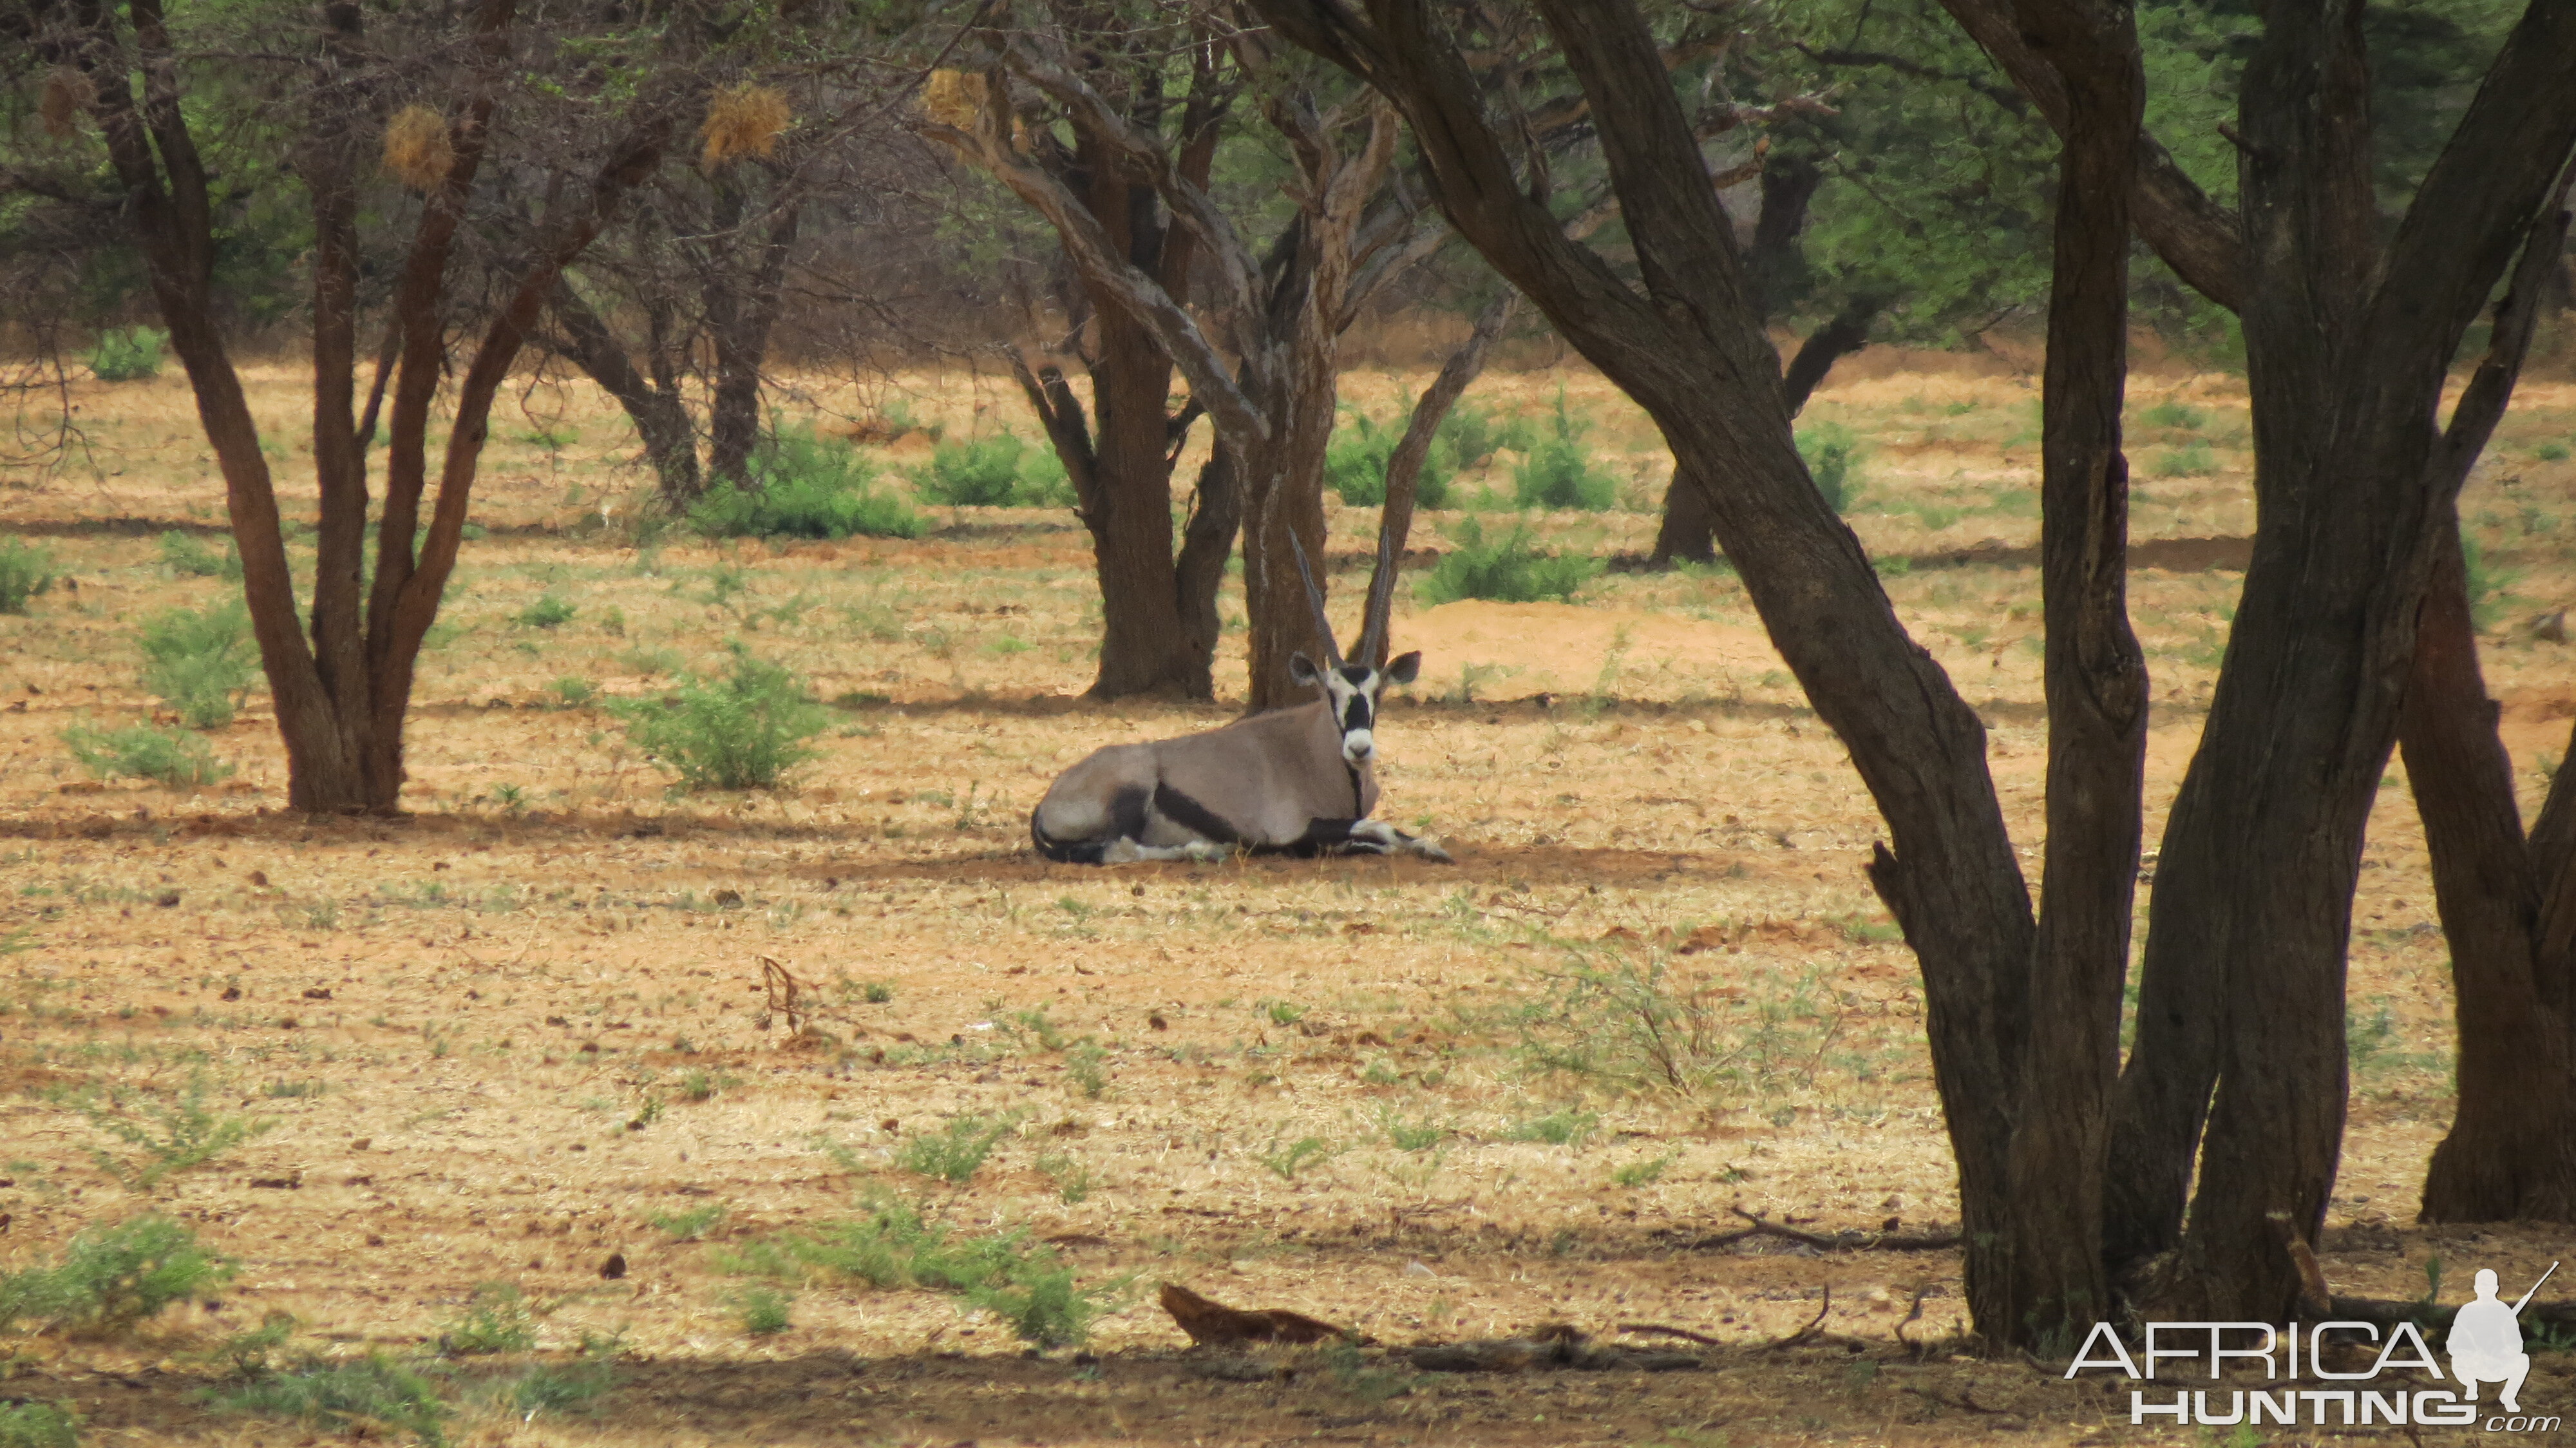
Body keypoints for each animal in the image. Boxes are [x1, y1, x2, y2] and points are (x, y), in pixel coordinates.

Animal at [1036, 536, 1463, 861]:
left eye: (1378, 692)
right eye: (1329, 691)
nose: (1359, 748)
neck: (1314, 750)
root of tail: (1047, 802)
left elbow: (1381, 836)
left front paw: (1428, 847)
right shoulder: (1298, 830)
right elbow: (1377, 829)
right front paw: (1429, 848)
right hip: (1133, 791)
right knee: (1121, 848)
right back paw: (1208, 850)